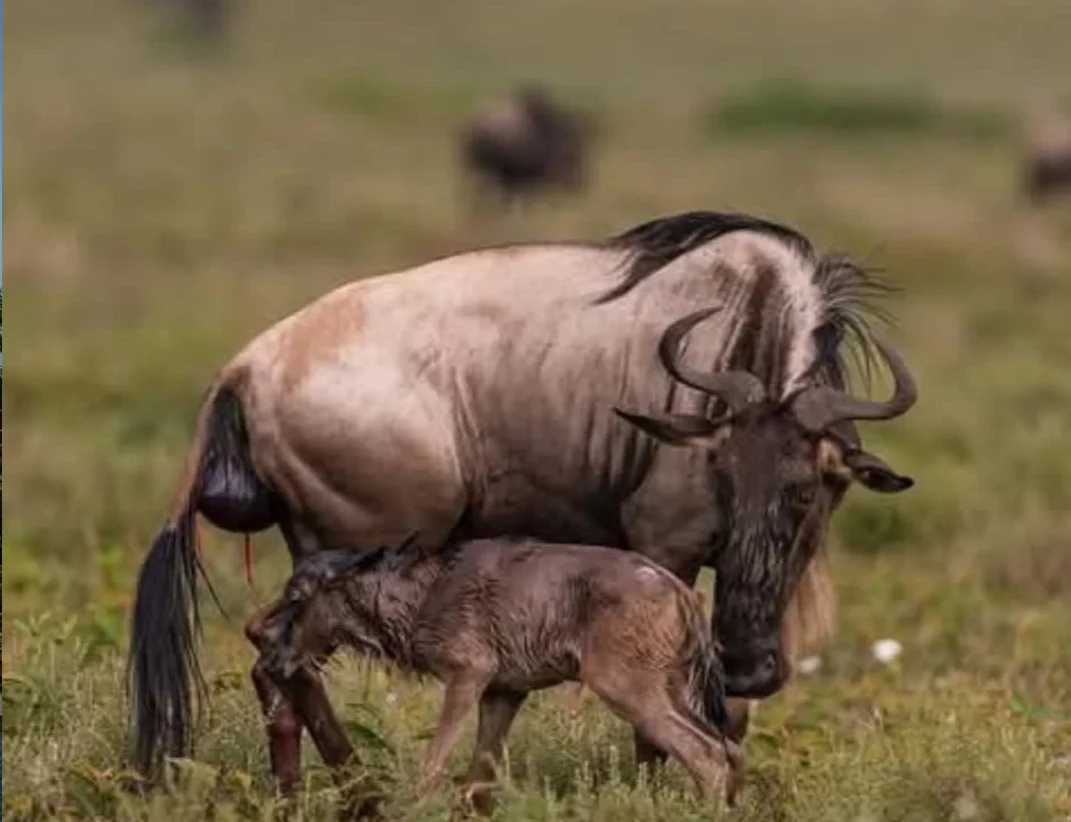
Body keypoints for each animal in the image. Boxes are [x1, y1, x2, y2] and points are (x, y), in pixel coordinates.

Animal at [126, 210, 918, 791]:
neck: (746, 324)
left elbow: (731, 710)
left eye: (815, 487)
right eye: (718, 467)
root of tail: (245, 366)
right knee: (287, 658)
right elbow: (666, 706)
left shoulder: (766, 578)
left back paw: (299, 790)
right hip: (366, 550)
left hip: (314, 551)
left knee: (272, 654)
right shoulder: (664, 550)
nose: (753, 663)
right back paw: (357, 784)